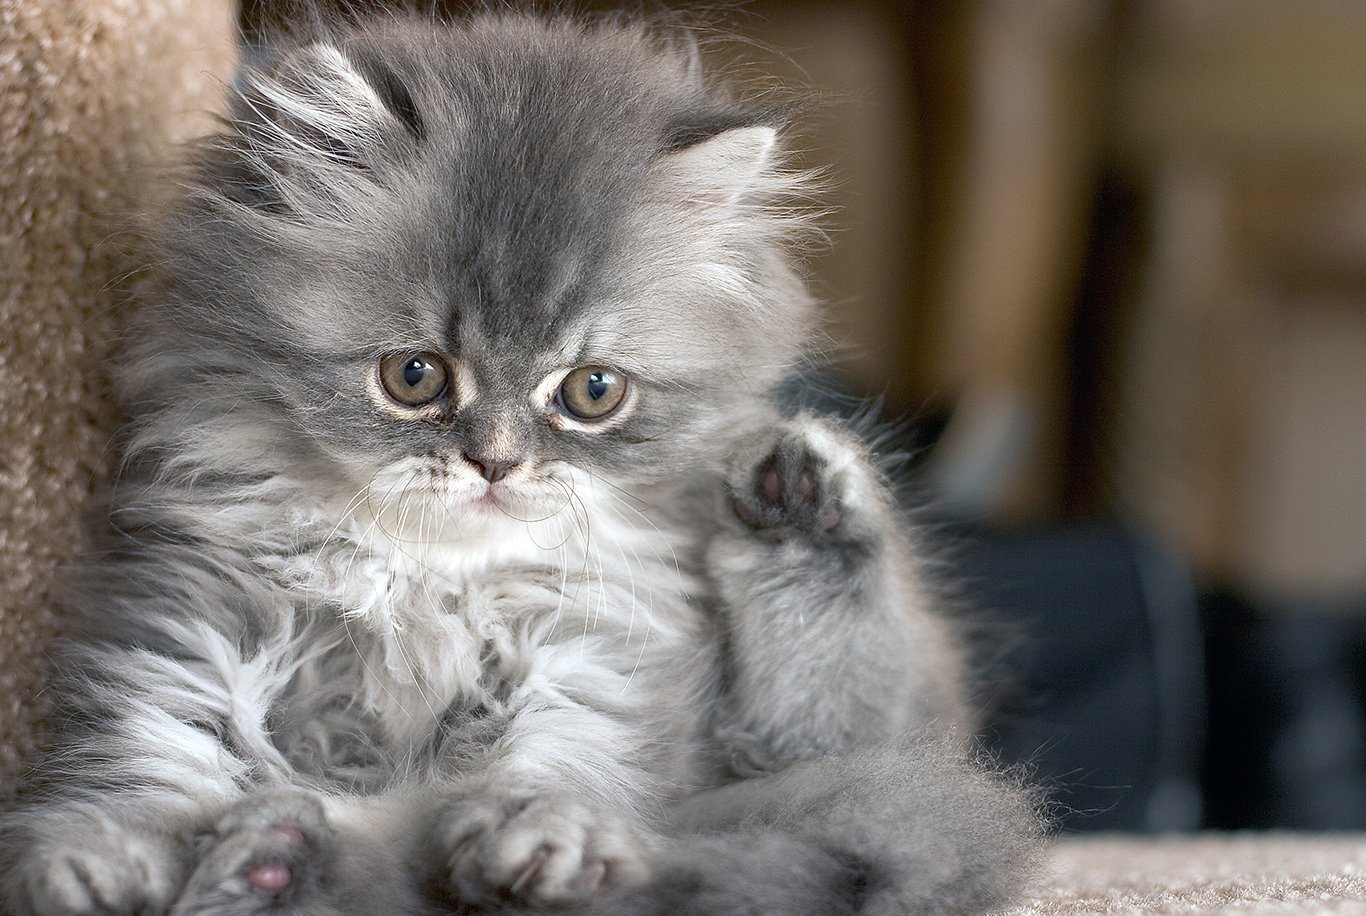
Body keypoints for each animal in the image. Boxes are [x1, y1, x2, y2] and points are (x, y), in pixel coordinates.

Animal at [0, 8, 1038, 916]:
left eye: (592, 392)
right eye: (415, 375)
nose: (494, 464)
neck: (426, 578)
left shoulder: (591, 656)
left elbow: (557, 763)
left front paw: (543, 841)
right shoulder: (193, 627)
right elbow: (148, 766)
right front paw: (96, 861)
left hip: (831, 748)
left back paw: (797, 496)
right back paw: (275, 858)